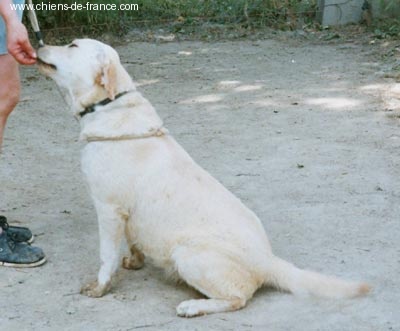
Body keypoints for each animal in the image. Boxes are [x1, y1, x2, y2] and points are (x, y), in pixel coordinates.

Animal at [36, 40, 368, 318]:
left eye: (72, 45)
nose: (37, 44)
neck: (109, 106)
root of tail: (268, 259)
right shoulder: (125, 214)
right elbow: (132, 242)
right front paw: (135, 261)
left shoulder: (108, 209)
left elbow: (106, 256)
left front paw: (100, 287)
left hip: (187, 253)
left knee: (239, 299)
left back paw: (192, 306)